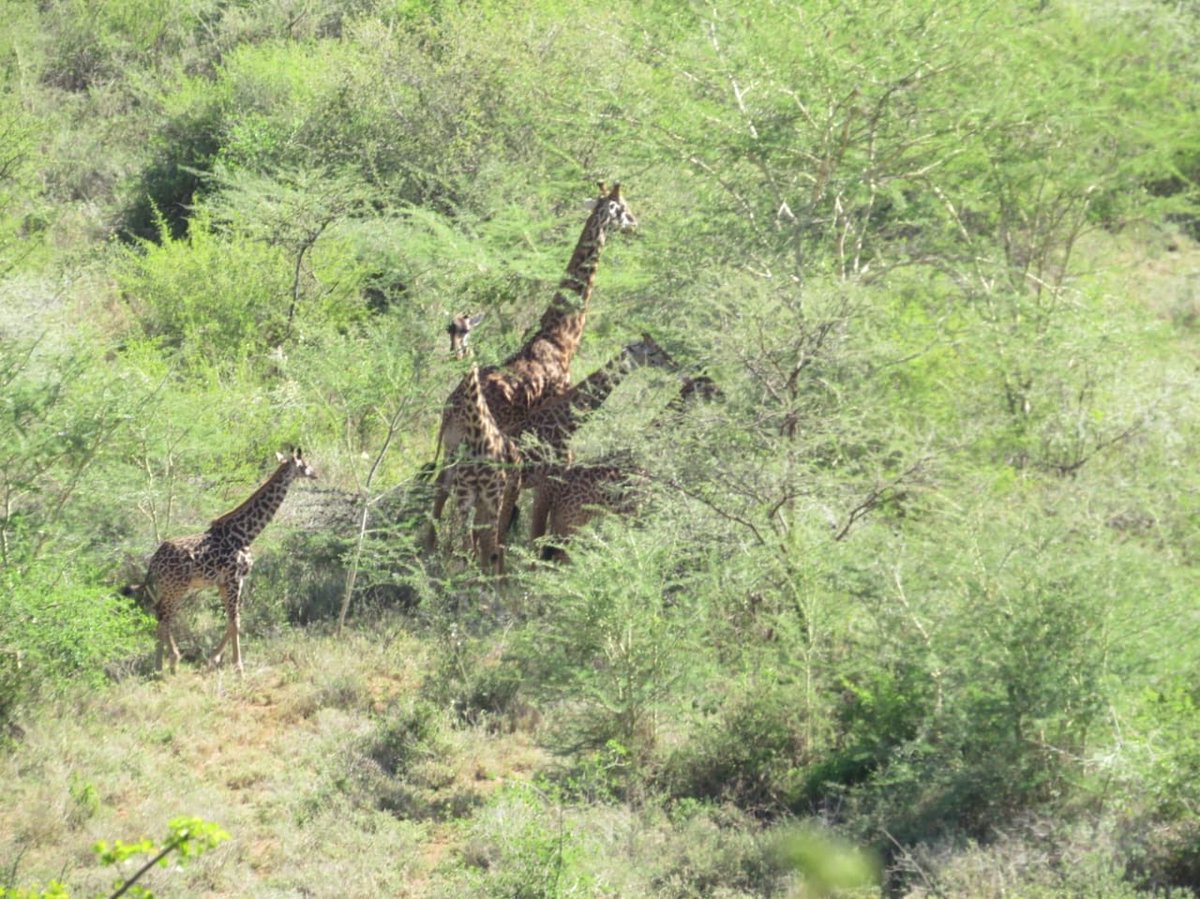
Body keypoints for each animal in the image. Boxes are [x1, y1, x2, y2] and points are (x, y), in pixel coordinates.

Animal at [122, 449, 318, 674]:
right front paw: (238, 667)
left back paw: (160, 664)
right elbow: (236, 620)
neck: (245, 534)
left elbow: (231, 620)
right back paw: (170, 660)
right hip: (177, 587)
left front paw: (213, 659)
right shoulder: (235, 579)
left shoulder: (224, 582)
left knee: (159, 612)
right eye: (304, 464)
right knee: (164, 613)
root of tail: (154, 561)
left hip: (165, 586)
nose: (315, 473)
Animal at [427, 182, 637, 542]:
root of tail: (450, 409)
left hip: (451, 451)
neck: (560, 337)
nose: (636, 223)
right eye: (622, 209)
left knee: (439, 492)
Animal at [529, 376, 722, 562]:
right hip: (572, 522)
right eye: (711, 386)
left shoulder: (629, 512)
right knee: (559, 558)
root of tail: (553, 489)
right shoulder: (635, 508)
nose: (723, 396)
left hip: (564, 521)